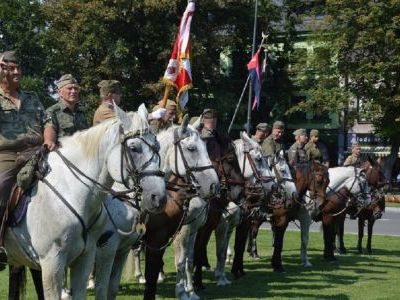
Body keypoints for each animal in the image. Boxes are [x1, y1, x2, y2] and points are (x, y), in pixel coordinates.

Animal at [4, 104, 166, 298]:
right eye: (134, 148)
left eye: (157, 146)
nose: (158, 197)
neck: (72, 191)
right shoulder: (53, 263)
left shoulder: (86, 258)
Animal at [92, 120, 219, 300]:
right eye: (191, 148)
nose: (214, 185)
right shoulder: (159, 239)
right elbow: (159, 273)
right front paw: (182, 291)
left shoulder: (178, 235)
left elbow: (187, 260)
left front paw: (190, 291)